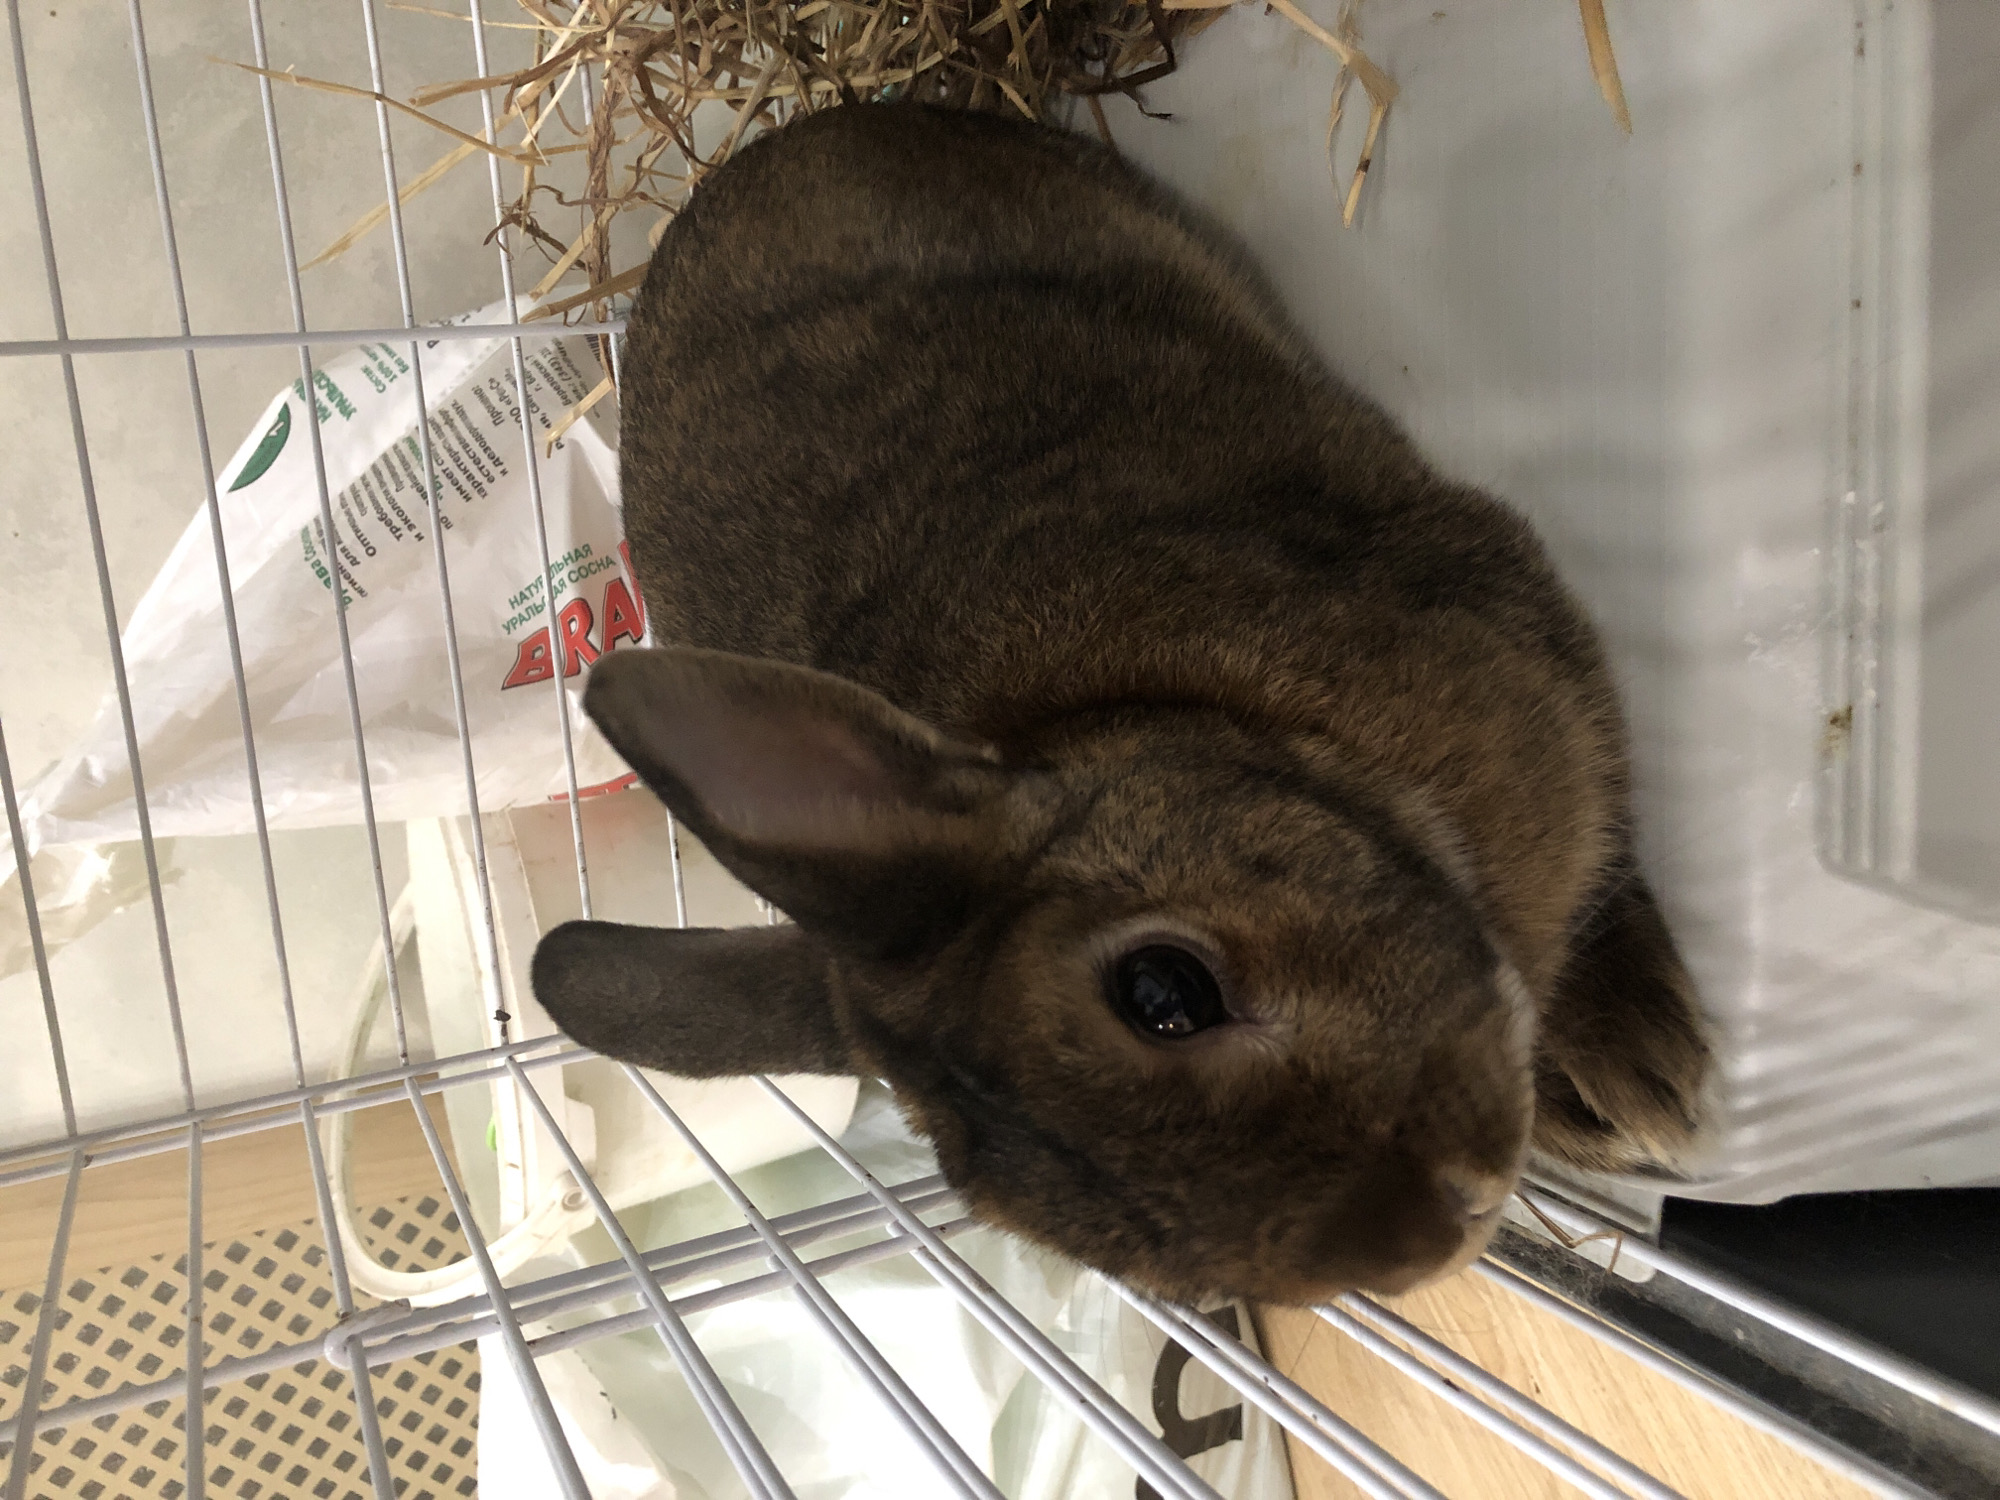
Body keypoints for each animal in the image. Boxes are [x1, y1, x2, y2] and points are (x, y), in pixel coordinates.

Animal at [530, 101, 1710, 1304]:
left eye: (1163, 990)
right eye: (1167, 1279)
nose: (1438, 1229)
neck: (1198, 715)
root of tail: (773, 145)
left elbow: (1607, 856)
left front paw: (1634, 1079)